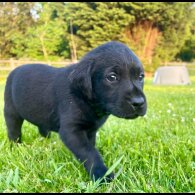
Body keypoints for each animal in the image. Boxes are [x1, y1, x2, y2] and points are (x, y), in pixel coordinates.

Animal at [3, 41, 147, 183]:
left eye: (141, 76)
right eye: (112, 77)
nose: (139, 102)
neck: (88, 100)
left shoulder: (91, 130)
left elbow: (91, 147)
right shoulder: (71, 130)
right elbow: (89, 152)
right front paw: (102, 175)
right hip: (11, 111)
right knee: (14, 132)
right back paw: (15, 147)